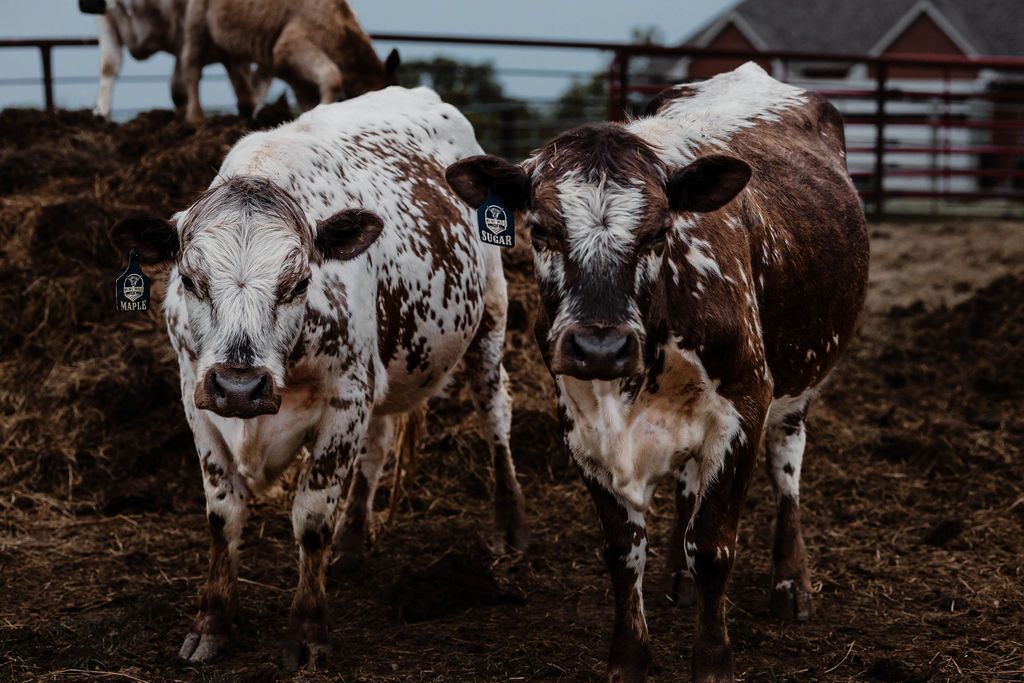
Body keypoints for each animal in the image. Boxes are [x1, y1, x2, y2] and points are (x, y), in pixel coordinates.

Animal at [80, 0, 266, 119]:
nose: (88, 4)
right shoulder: (106, 20)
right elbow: (109, 66)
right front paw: (101, 112)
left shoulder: (184, 23)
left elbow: (178, 86)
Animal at [110, 86, 528, 668]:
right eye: (191, 280)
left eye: (299, 281)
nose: (239, 387)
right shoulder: (196, 398)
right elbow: (223, 514)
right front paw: (212, 622)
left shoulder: (345, 396)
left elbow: (311, 515)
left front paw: (308, 629)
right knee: (378, 445)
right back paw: (352, 543)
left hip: (490, 314)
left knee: (495, 415)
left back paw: (509, 529)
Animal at [179, 0, 400, 124]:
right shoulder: (291, 46)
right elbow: (332, 77)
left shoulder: (293, 75)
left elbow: (307, 100)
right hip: (196, 23)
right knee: (191, 66)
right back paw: (195, 117)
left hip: (228, 39)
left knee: (234, 68)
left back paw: (246, 108)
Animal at [445, 62, 869, 682]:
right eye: (540, 230)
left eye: (657, 232)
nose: (600, 346)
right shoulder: (580, 423)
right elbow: (624, 551)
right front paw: (629, 657)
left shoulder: (743, 407)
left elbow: (714, 546)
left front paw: (713, 661)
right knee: (689, 486)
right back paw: (679, 579)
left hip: (799, 380)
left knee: (786, 464)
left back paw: (791, 581)